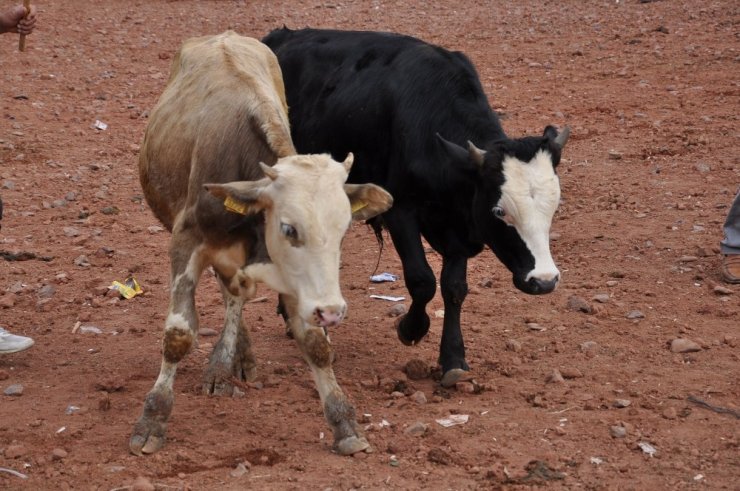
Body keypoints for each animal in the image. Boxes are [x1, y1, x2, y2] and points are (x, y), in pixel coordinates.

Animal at [130, 32, 394, 458]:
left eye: (343, 230)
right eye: (288, 228)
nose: (333, 311)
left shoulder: (295, 278)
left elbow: (314, 343)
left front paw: (344, 423)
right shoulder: (185, 242)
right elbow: (179, 334)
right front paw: (152, 419)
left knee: (234, 295)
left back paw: (229, 362)